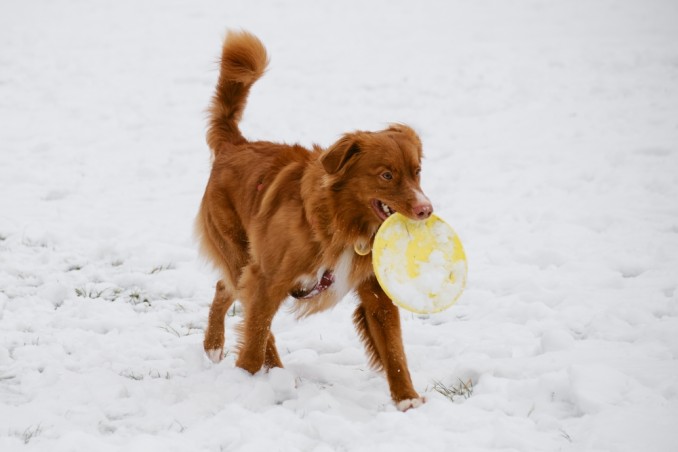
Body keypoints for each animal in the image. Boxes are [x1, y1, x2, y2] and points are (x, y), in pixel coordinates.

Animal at [197, 30, 432, 408]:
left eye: (417, 171)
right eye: (386, 175)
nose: (427, 209)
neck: (341, 222)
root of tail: (236, 144)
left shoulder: (375, 292)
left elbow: (394, 348)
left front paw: (407, 400)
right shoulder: (268, 278)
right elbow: (254, 337)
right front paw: (244, 383)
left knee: (224, 289)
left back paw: (223, 349)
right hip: (241, 253)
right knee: (249, 314)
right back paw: (264, 369)